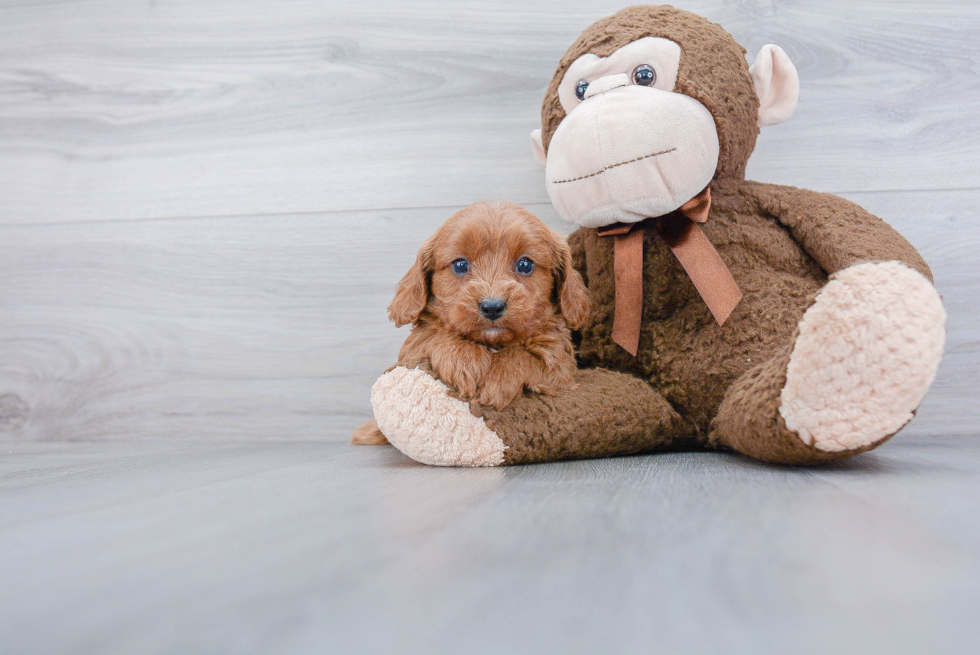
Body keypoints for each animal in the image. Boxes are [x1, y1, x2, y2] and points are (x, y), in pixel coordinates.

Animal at [356, 200, 592, 446]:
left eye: (525, 264)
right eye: (460, 265)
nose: (492, 306)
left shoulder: (560, 363)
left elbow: (527, 357)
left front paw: (498, 381)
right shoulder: (412, 348)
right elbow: (433, 334)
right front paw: (465, 360)